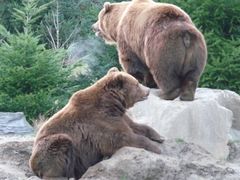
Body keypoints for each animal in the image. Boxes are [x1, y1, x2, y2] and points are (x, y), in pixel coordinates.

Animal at [28, 67, 163, 179]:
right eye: (136, 84)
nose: (148, 90)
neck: (111, 104)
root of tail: (32, 164)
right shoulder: (98, 121)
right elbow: (121, 137)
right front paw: (155, 148)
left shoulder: (117, 116)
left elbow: (135, 126)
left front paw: (159, 137)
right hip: (48, 149)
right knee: (59, 146)